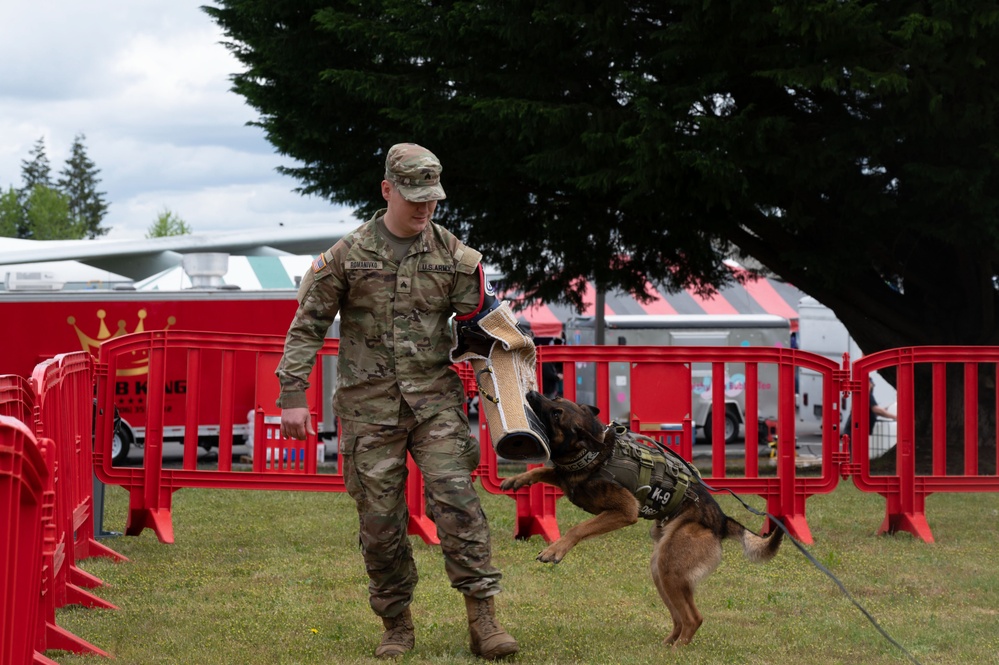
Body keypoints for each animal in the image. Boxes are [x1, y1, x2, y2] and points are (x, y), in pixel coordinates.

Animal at [504, 392, 784, 644]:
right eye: (555, 398)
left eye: (556, 413)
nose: (532, 393)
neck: (594, 455)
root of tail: (722, 520)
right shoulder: (567, 478)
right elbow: (543, 470)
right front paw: (516, 480)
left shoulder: (625, 511)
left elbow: (579, 527)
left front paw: (555, 550)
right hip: (660, 571)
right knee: (679, 617)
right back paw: (666, 644)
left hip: (670, 567)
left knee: (694, 618)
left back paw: (676, 650)